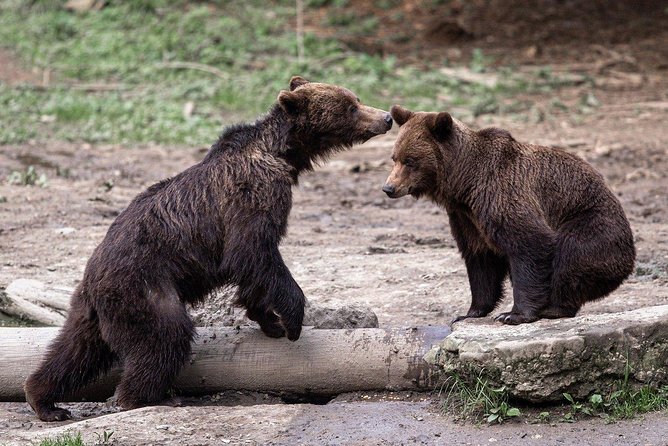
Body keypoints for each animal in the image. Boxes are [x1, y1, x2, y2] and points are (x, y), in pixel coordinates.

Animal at [24, 76, 393, 422]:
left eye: (356, 98)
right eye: (350, 107)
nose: (387, 117)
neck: (284, 155)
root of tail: (93, 276)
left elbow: (254, 270)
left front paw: (268, 320)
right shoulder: (251, 196)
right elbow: (253, 253)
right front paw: (291, 320)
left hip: (92, 308)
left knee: (76, 351)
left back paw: (45, 400)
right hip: (145, 288)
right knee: (166, 336)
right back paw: (146, 397)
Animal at [382, 105, 635, 325]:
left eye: (410, 161)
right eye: (394, 158)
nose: (389, 188)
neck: (464, 183)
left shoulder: (502, 195)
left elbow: (531, 244)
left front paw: (513, 315)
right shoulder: (467, 218)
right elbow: (481, 260)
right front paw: (470, 312)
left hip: (590, 221)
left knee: (571, 255)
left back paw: (554, 308)